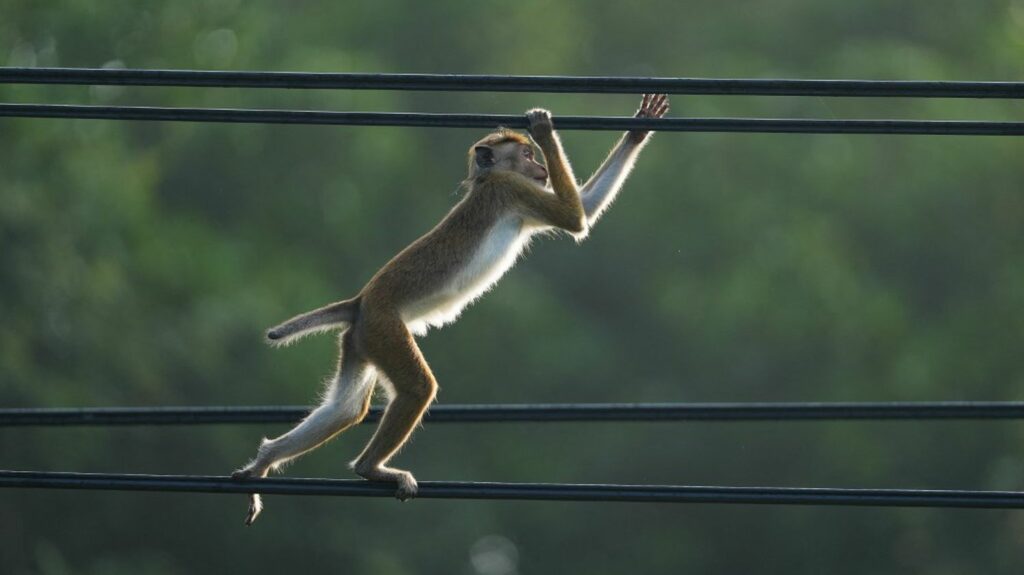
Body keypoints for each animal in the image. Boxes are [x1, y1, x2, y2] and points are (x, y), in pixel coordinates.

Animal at [234, 91, 671, 521]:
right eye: (526, 154)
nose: (541, 167)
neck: (487, 179)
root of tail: (361, 300)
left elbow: (586, 206)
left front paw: (638, 128)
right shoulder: (510, 190)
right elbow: (575, 218)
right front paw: (545, 129)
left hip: (362, 338)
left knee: (345, 409)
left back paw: (264, 461)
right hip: (385, 327)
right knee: (416, 388)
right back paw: (369, 468)